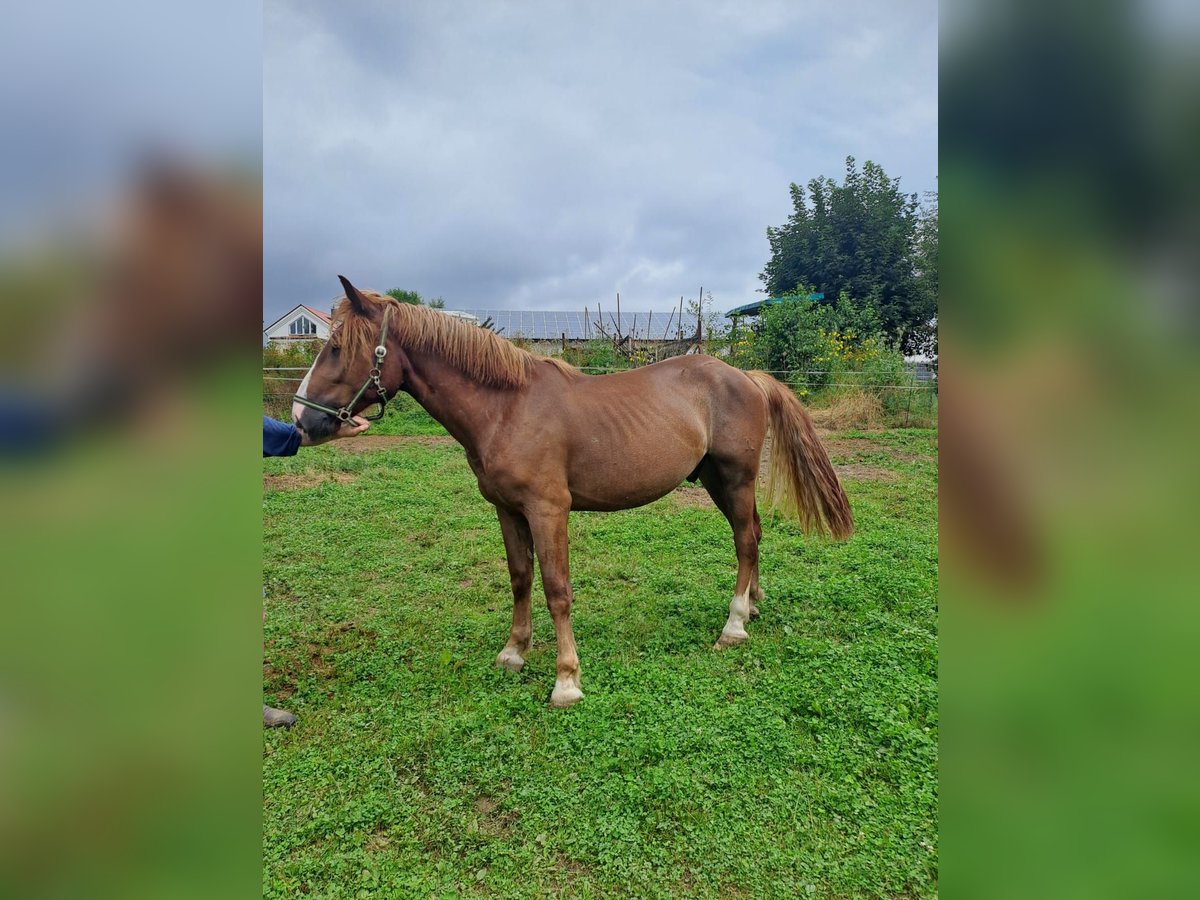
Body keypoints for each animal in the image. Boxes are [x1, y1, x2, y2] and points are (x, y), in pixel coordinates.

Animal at [292, 278, 854, 710]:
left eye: (338, 347)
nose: (301, 418)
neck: (507, 408)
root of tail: (749, 376)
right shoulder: (507, 511)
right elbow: (520, 579)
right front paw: (514, 652)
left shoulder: (549, 511)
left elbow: (557, 590)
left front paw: (566, 681)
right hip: (718, 481)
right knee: (753, 536)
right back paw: (753, 607)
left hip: (735, 479)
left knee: (744, 541)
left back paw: (733, 625)